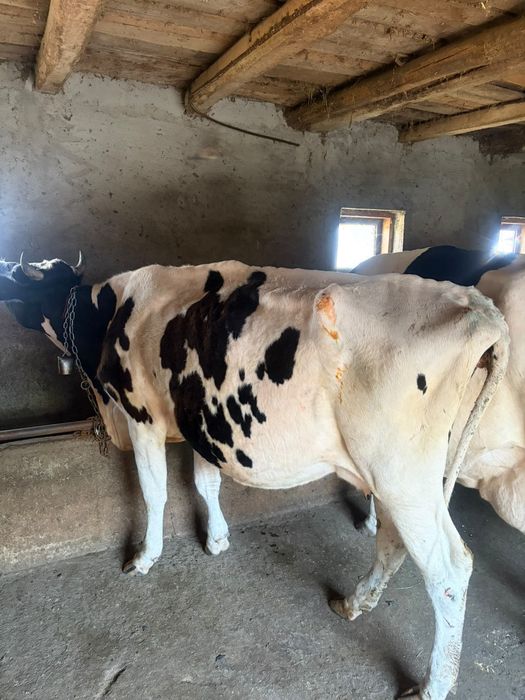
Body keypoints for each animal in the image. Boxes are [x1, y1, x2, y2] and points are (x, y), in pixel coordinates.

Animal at [0, 253, 510, 700]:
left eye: (21, 283)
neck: (112, 311)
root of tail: (476, 305)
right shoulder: (206, 422)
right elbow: (206, 483)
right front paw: (217, 539)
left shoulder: (142, 416)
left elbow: (153, 492)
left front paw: (145, 557)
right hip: (402, 476)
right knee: (392, 541)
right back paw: (353, 603)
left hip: (402, 474)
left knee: (448, 569)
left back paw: (432, 685)